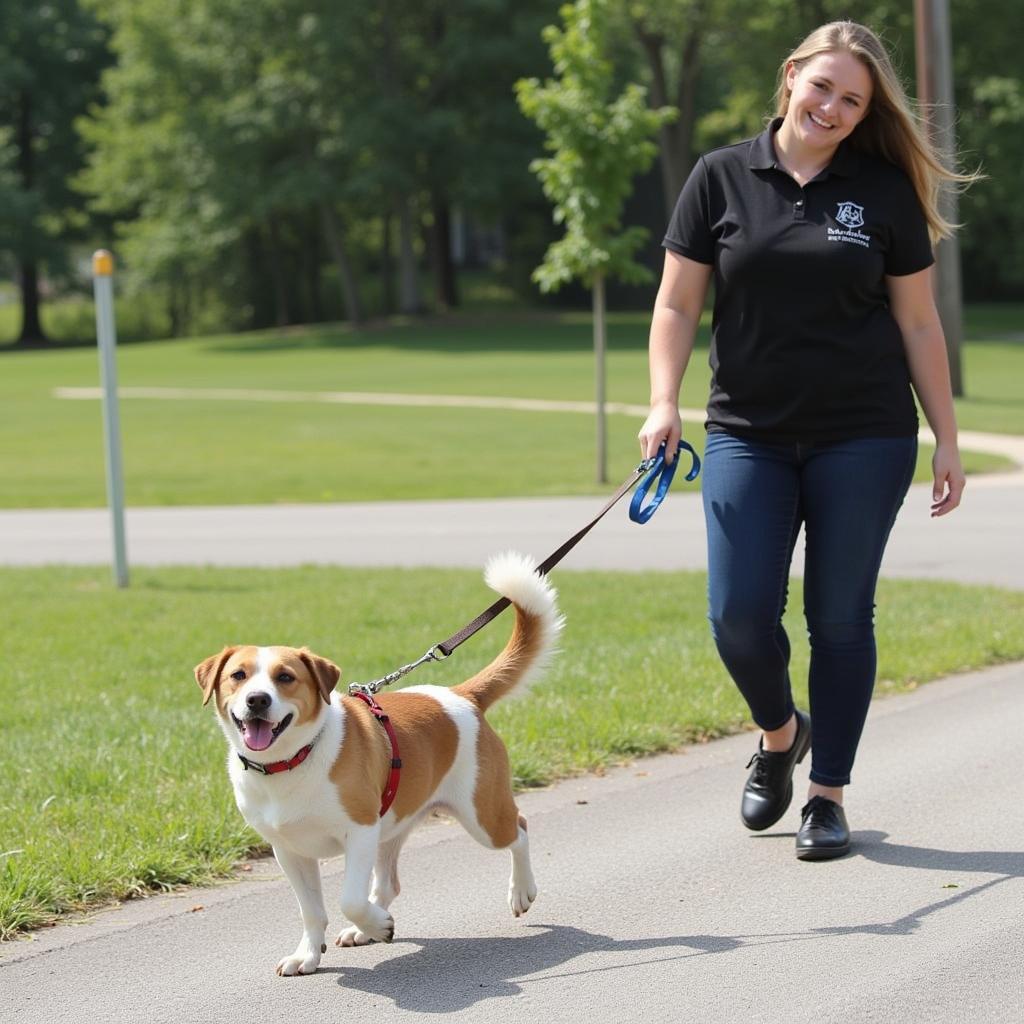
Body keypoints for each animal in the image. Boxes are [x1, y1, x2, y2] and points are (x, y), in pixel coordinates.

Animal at [192, 552, 561, 974]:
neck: (292, 762)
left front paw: (377, 923)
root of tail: (461, 694)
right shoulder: (289, 850)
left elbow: (349, 899)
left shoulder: (360, 831)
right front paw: (309, 954)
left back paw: (521, 891)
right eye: (238, 675)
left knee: (520, 828)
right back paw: (364, 930)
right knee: (388, 884)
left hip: (481, 816)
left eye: (285, 677)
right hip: (395, 822)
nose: (257, 700)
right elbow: (312, 911)